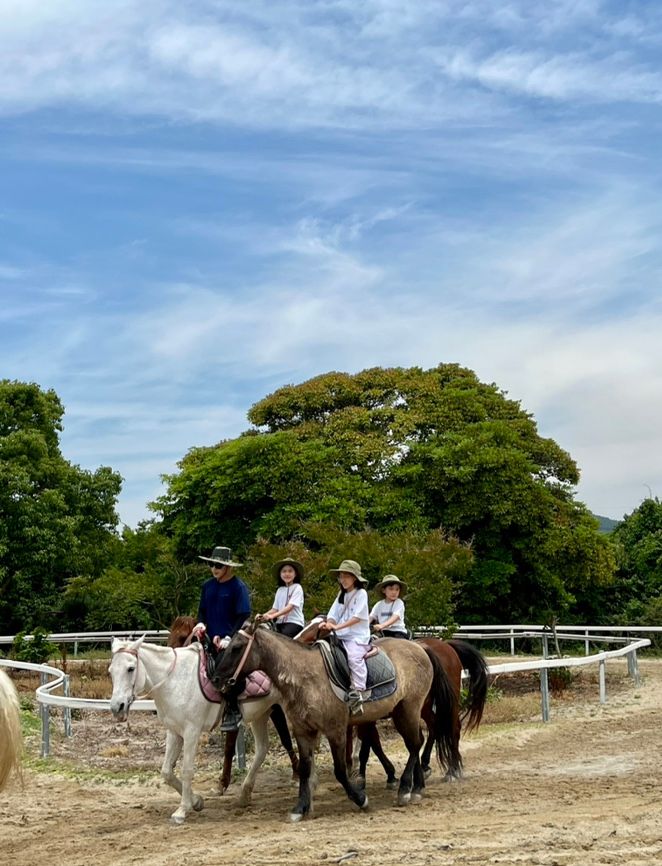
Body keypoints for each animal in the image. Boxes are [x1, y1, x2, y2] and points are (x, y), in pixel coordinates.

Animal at [110, 636, 292, 824]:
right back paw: (244, 794)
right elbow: (167, 771)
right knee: (262, 749)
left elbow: (187, 770)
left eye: (130, 668)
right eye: (110, 671)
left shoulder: (191, 731)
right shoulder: (174, 731)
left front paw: (182, 810)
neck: (175, 681)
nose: (117, 707)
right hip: (261, 714)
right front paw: (196, 801)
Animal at [167, 608, 300, 788]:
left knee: (286, 738)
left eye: (182, 637)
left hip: (276, 708)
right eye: (170, 636)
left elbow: (229, 747)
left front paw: (223, 782)